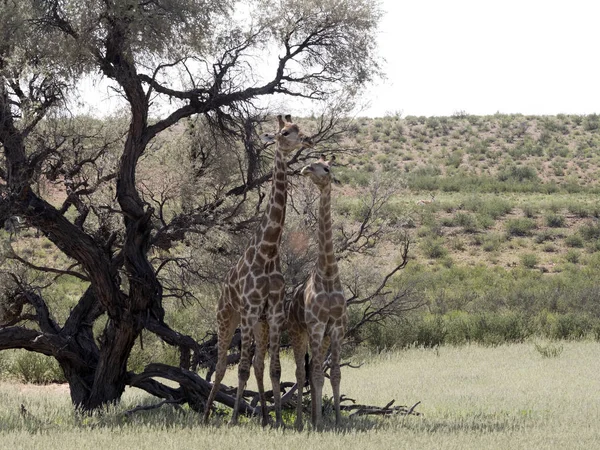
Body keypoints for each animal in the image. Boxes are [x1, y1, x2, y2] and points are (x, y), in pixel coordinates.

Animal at [204, 114, 312, 428]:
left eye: (300, 129)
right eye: (285, 132)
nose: (307, 140)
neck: (268, 251)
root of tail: (222, 290)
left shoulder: (273, 312)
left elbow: (273, 368)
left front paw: (276, 421)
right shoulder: (250, 309)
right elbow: (241, 368)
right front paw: (234, 419)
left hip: (259, 324)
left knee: (258, 363)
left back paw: (263, 416)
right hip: (228, 317)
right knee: (222, 365)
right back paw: (207, 415)